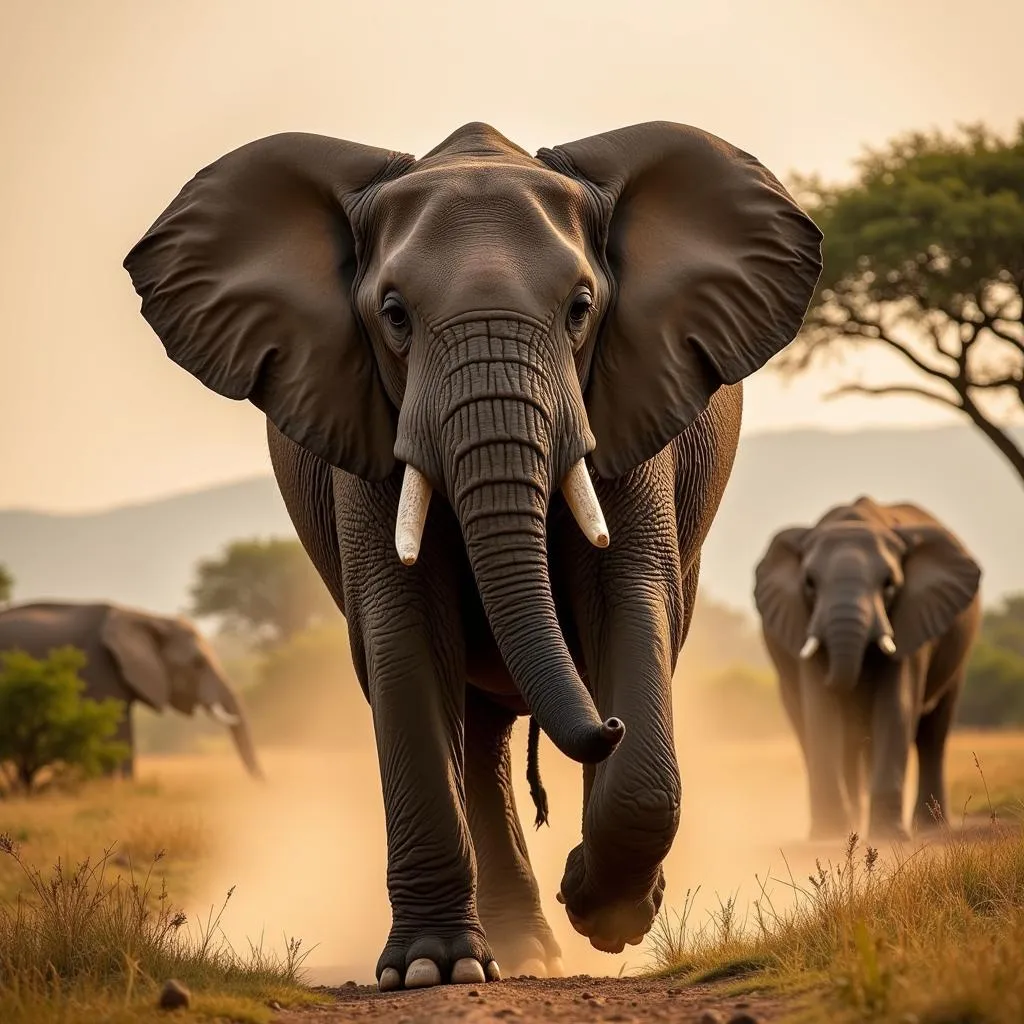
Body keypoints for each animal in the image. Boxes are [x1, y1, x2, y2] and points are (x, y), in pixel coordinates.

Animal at [121, 119, 823, 991]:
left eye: (581, 309)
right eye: (393, 315)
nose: (609, 724)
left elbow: (630, 600)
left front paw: (607, 911)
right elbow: (404, 632)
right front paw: (430, 968)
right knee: (475, 730)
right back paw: (518, 952)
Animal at [753, 495, 983, 839]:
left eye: (888, 584)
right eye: (810, 583)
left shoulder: (914, 614)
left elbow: (896, 704)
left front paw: (889, 837)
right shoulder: (803, 617)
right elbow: (820, 711)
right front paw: (829, 835)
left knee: (934, 733)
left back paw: (928, 827)